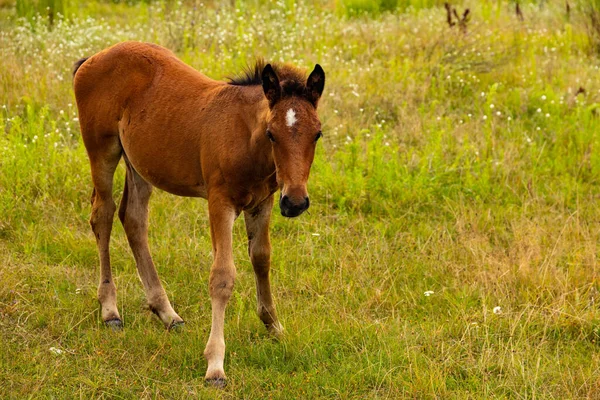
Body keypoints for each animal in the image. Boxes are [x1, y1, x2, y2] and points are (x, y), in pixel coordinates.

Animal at [73, 42, 326, 386]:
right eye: (272, 133)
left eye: (317, 134)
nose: (296, 203)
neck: (246, 140)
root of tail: (93, 58)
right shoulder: (219, 202)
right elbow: (222, 276)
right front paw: (215, 364)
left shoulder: (264, 201)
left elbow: (261, 259)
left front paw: (274, 327)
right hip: (102, 149)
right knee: (103, 214)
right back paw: (110, 310)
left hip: (139, 162)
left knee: (133, 218)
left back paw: (167, 313)